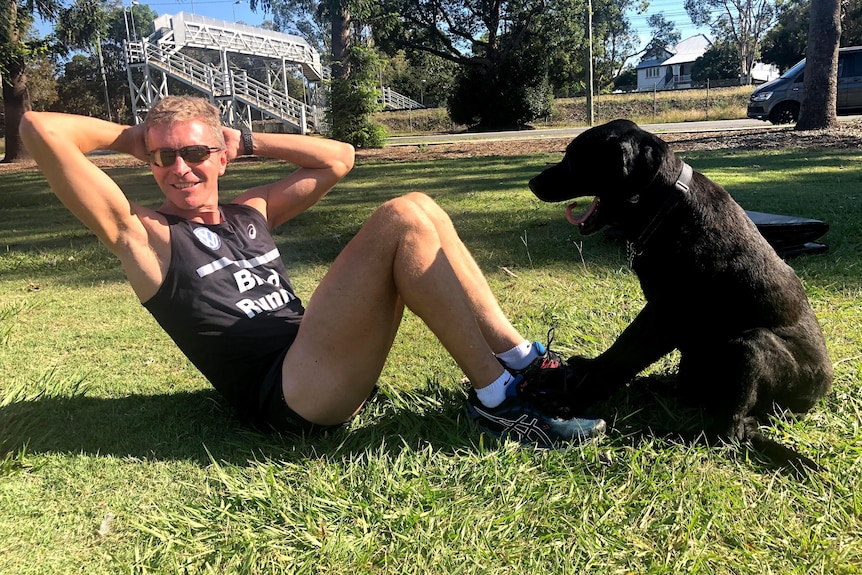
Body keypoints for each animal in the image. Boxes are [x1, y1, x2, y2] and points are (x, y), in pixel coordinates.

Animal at [528, 119, 832, 470]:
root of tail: (814, 399)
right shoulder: (655, 311)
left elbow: (623, 359)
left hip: (750, 346)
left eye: (575, 158)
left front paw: (572, 398)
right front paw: (585, 369)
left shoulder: (665, 317)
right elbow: (618, 349)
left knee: (730, 432)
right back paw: (656, 386)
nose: (532, 183)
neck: (669, 208)